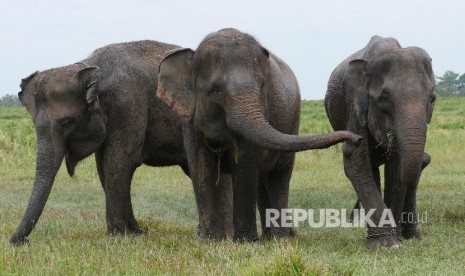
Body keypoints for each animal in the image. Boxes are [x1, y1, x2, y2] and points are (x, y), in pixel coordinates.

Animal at [10, 40, 236, 245]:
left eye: (67, 122)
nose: (20, 241)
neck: (90, 66)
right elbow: (104, 165)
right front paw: (134, 232)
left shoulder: (128, 102)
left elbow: (120, 160)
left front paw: (120, 234)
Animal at [157, 28, 362, 242]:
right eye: (216, 91)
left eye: (263, 86)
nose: (357, 139)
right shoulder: (189, 117)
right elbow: (201, 167)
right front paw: (212, 241)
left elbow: (245, 164)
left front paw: (245, 242)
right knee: (262, 180)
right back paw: (270, 236)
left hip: (293, 118)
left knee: (279, 177)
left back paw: (280, 238)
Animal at [322, 35, 436, 249]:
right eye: (384, 98)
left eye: (432, 99)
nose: (426, 157)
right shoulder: (354, 101)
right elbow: (355, 161)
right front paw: (387, 244)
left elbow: (396, 169)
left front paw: (396, 239)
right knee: (371, 170)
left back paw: (413, 236)